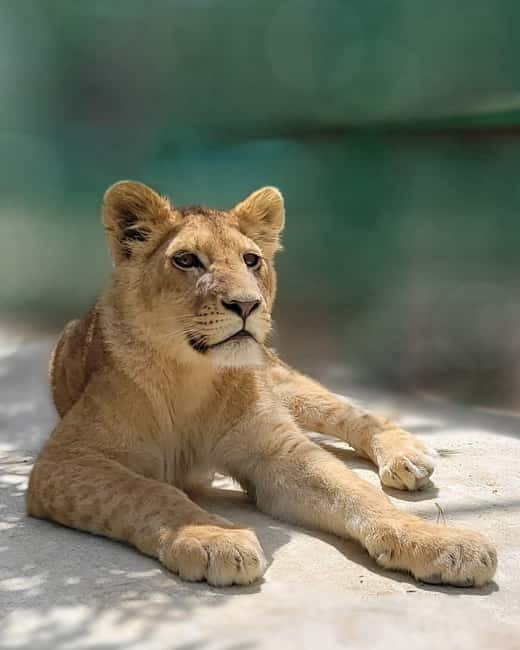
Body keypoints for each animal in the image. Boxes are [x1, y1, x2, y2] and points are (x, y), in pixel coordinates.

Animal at [26, 181, 496, 587]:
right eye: (186, 260)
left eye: (251, 260)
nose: (246, 304)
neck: (190, 376)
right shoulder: (66, 461)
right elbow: (149, 491)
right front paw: (211, 536)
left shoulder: (278, 452)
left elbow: (357, 493)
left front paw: (438, 540)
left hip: (284, 384)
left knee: (352, 415)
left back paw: (407, 456)